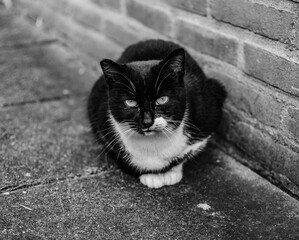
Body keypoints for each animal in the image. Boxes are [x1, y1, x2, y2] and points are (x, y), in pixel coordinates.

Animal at [88, 39, 226, 188]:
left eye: (162, 99)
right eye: (130, 102)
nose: (147, 121)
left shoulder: (209, 111)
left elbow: (183, 156)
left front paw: (171, 173)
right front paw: (152, 176)